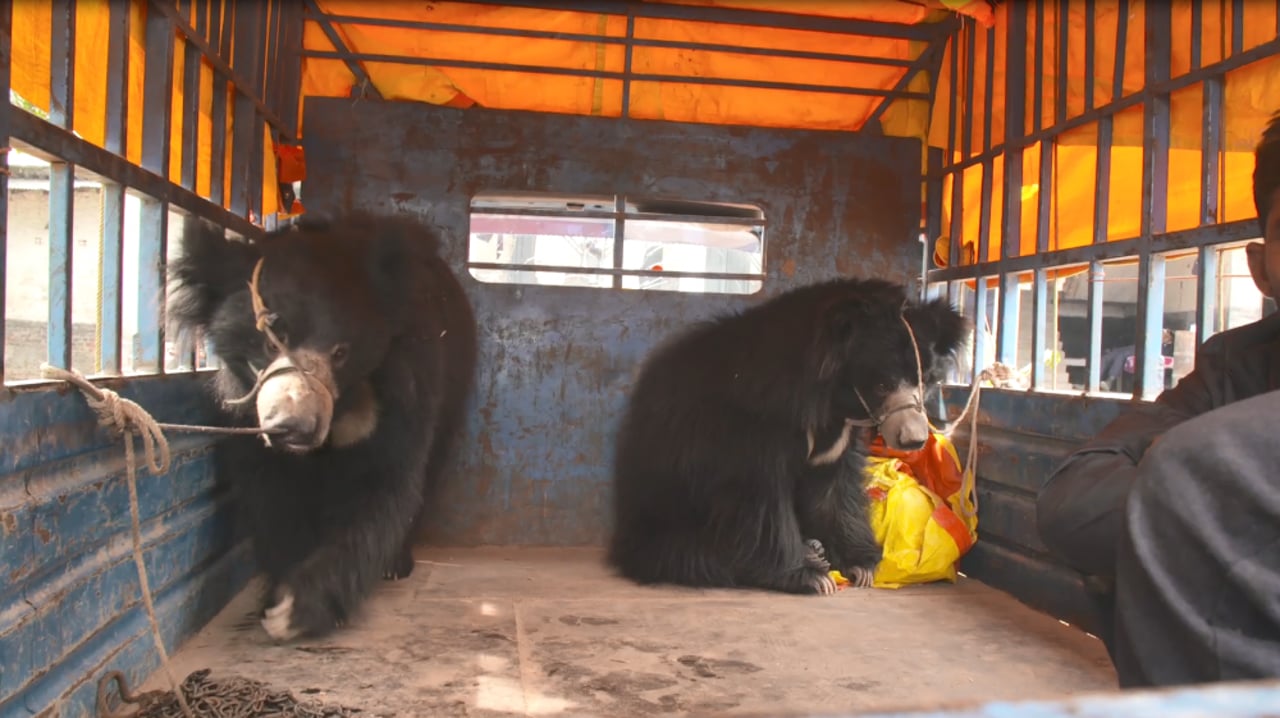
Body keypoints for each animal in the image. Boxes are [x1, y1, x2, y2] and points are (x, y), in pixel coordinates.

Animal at [165, 209, 476, 639]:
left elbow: (384, 484)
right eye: (269, 341)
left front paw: (298, 607)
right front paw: (277, 594)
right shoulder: (246, 411)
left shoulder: (405, 384)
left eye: (341, 352)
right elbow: (271, 492)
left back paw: (397, 564)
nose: (295, 427)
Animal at [604, 277, 962, 596]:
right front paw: (811, 578)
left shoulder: (838, 440)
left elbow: (835, 489)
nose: (913, 439)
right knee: (692, 556)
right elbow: (761, 499)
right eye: (883, 384)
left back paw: (816, 547)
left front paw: (860, 567)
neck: (830, 402)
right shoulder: (752, 429)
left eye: (925, 380)